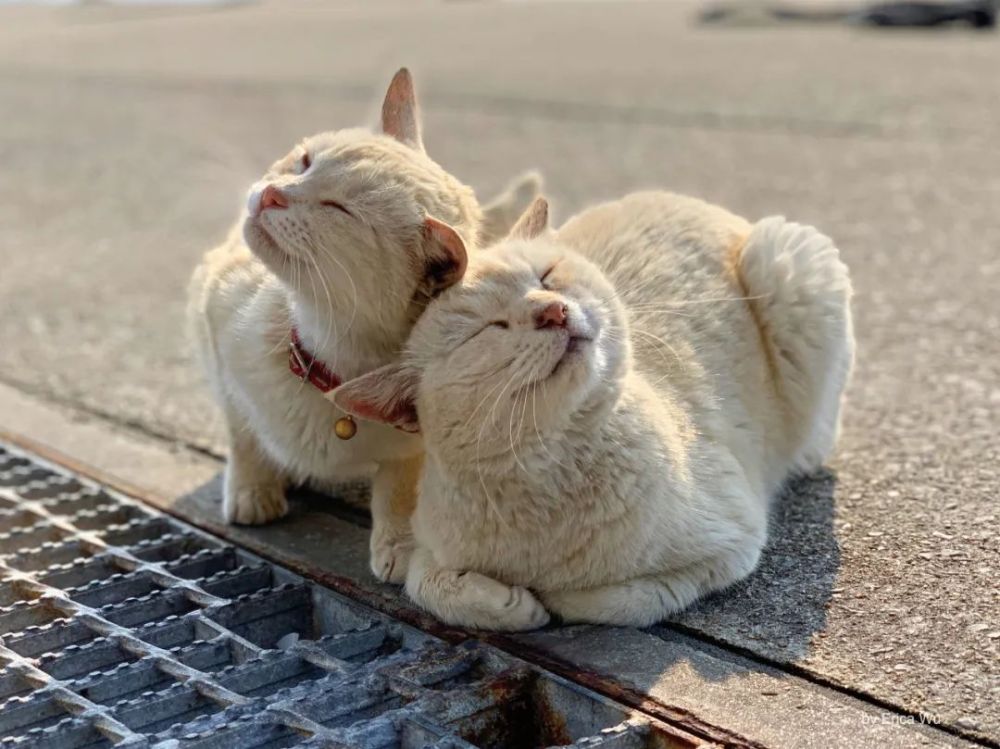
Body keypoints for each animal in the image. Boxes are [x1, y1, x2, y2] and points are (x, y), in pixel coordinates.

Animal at [191, 68, 544, 584]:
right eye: (305, 161)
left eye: (338, 209)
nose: (273, 193)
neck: (330, 358)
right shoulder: (217, 334)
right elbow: (242, 431)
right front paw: (252, 488)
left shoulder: (414, 439)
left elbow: (398, 486)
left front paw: (396, 542)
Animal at [334, 190, 852, 628]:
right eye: (489, 329)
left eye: (545, 277)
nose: (554, 310)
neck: (550, 476)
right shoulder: (428, 548)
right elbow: (424, 585)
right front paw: (509, 605)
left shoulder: (734, 539)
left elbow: (617, 601)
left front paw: (547, 599)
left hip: (791, 264)